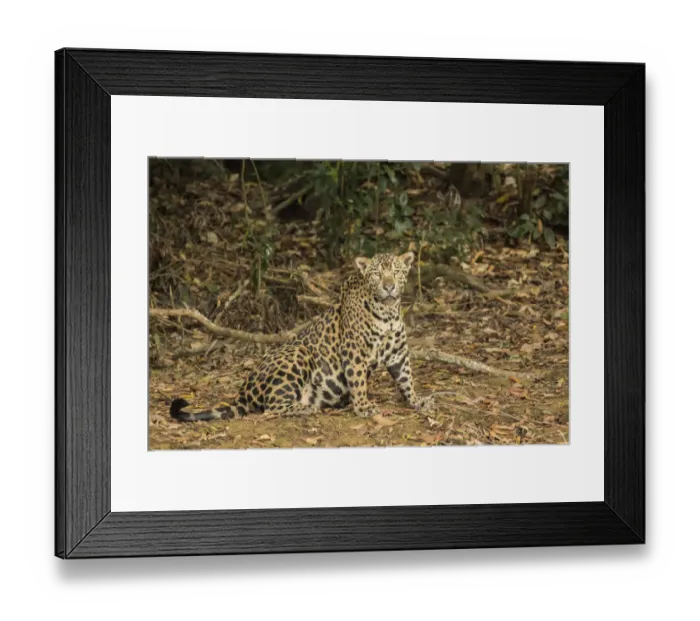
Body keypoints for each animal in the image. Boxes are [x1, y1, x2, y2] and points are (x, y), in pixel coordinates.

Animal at [170, 251, 434, 421]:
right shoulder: (354, 352)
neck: (388, 312)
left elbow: (407, 379)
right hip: (298, 353)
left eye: (397, 272)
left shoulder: (398, 354)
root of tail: (243, 393)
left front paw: (418, 401)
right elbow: (358, 381)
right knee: (271, 407)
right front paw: (363, 406)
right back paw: (307, 409)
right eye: (377, 274)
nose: (389, 286)